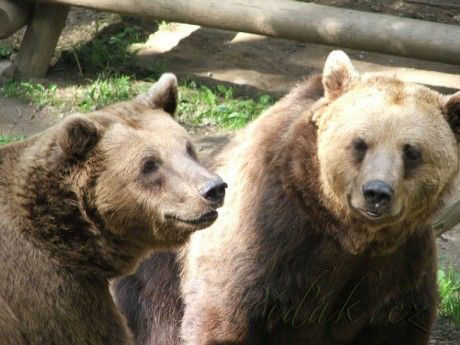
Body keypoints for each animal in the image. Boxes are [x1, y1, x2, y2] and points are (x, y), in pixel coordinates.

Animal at [114, 51, 460, 344]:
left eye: (411, 152)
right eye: (360, 143)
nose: (376, 192)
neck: (345, 231)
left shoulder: (398, 263)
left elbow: (398, 322)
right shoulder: (269, 233)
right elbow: (224, 313)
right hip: (154, 287)